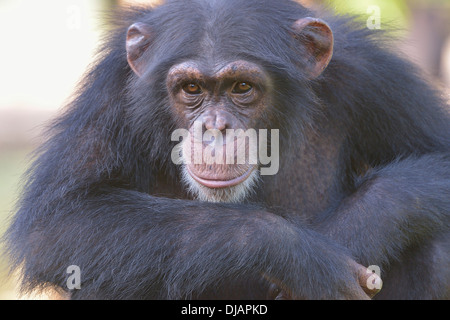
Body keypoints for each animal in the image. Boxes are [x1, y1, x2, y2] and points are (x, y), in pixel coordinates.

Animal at [4, 0, 450, 300]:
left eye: (242, 87)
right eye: (192, 88)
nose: (215, 128)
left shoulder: (371, 72)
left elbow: (438, 156)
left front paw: (355, 229)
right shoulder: (111, 90)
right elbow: (62, 221)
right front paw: (303, 257)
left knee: (430, 249)